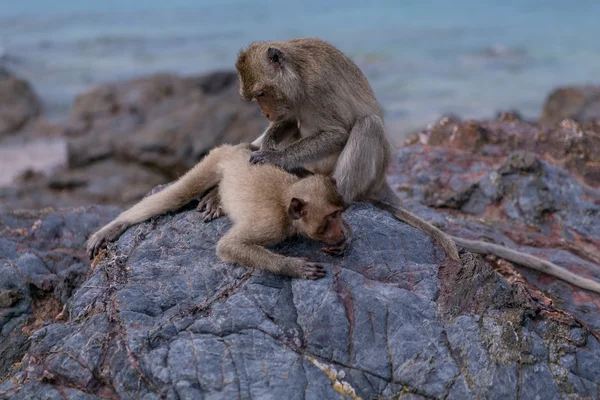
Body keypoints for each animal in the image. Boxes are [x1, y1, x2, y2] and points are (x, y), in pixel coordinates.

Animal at [86, 142, 354, 280]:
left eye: (339, 213)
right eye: (331, 216)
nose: (339, 229)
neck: (285, 204)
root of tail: (236, 148)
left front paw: (346, 239)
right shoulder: (271, 225)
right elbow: (229, 246)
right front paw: (293, 268)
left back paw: (216, 198)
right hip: (215, 159)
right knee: (178, 193)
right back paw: (115, 225)